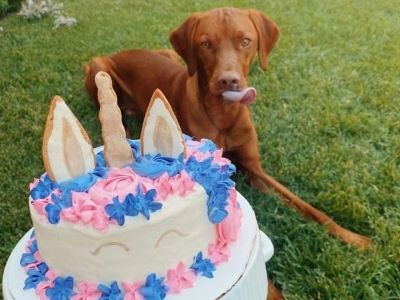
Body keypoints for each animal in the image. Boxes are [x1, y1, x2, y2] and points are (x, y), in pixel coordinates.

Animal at [83, 7, 368, 251]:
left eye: (245, 41)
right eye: (205, 44)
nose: (228, 80)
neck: (224, 113)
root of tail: (119, 52)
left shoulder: (255, 170)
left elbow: (305, 206)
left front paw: (352, 237)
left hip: (169, 53)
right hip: (98, 67)